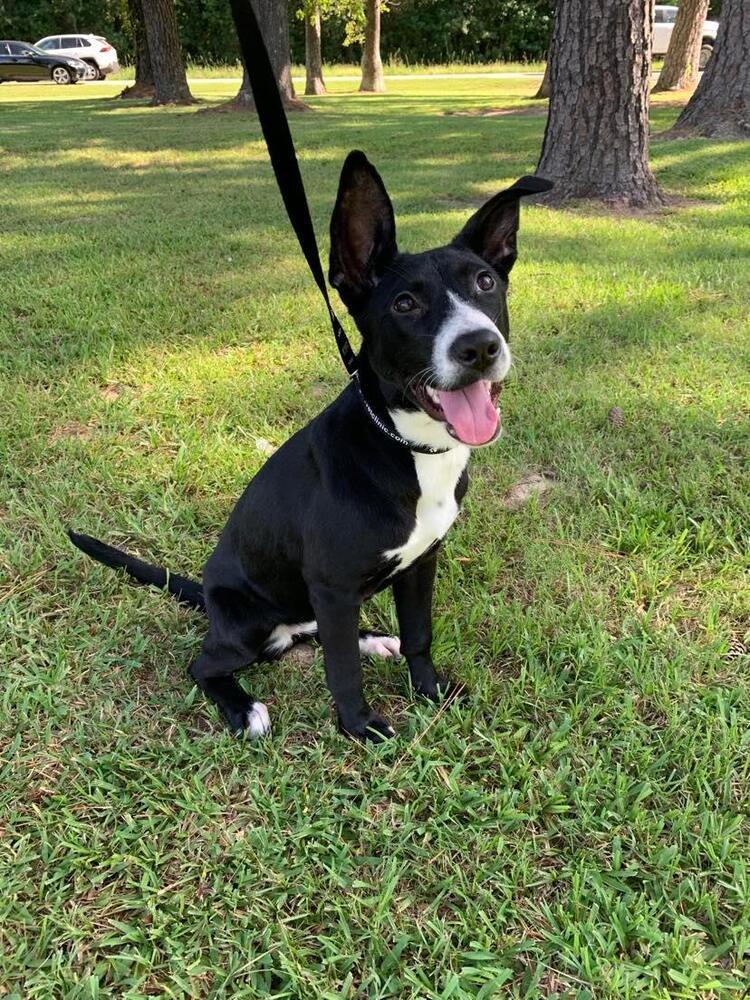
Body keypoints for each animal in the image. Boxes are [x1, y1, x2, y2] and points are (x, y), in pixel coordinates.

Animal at [70, 152, 552, 740]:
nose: (480, 347)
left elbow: (418, 634)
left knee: (320, 633)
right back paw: (242, 708)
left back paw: (372, 639)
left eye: (485, 282)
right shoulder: (332, 585)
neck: (408, 446)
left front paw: (430, 691)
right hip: (250, 624)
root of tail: (208, 597)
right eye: (405, 303)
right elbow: (340, 669)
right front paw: (361, 727)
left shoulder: (421, 564)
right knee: (205, 664)